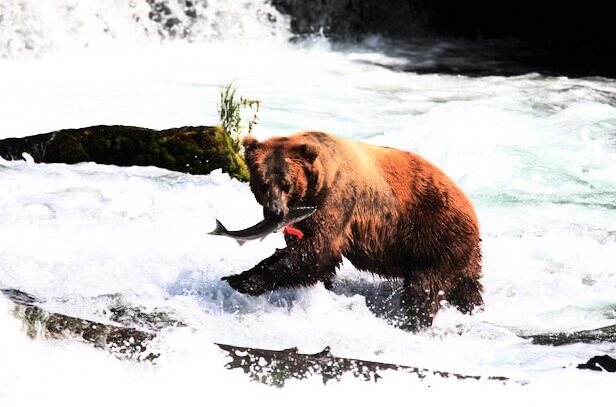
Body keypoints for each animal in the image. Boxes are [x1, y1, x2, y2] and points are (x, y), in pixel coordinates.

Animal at [224, 131, 484, 332]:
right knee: (467, 286)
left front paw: (242, 279)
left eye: (287, 184)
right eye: (263, 183)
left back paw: (411, 323)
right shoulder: (303, 218)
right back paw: (472, 309)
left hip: (435, 233)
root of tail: (472, 209)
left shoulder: (337, 201)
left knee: (424, 287)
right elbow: (306, 253)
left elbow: (316, 251)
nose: (275, 212)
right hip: (460, 252)